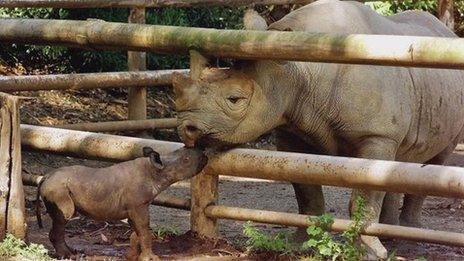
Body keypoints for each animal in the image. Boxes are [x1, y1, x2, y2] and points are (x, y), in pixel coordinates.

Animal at [37, 145, 208, 258]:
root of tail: (45, 177)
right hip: (57, 189)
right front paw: (151, 258)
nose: (204, 154)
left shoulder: (135, 207)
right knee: (64, 216)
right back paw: (68, 256)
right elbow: (145, 231)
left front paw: (133, 256)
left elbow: (137, 232)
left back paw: (73, 253)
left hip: (56, 186)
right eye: (186, 160)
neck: (155, 171)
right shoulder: (139, 205)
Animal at [172, 0, 464, 256]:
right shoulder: (291, 127)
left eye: (235, 100)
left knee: (435, 161)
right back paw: (392, 235)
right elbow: (306, 189)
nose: (186, 128)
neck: (297, 69)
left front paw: (370, 253)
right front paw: (299, 245)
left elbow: (366, 193)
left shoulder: (377, 135)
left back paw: (408, 237)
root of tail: (447, 33)